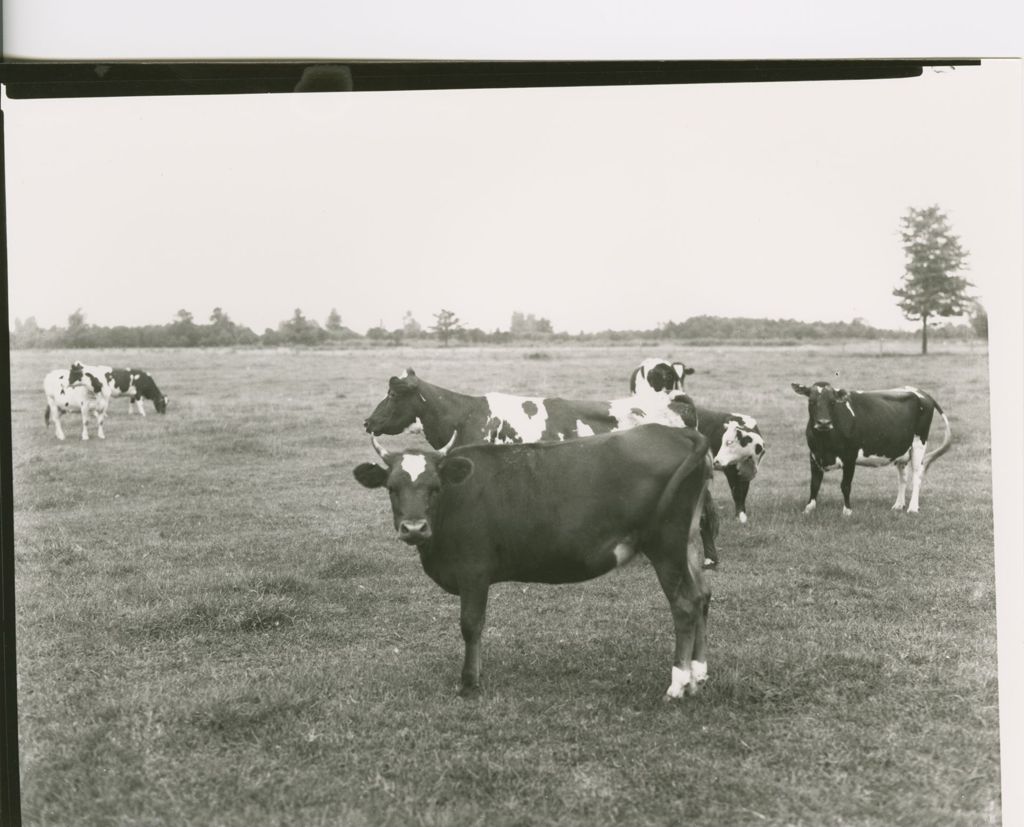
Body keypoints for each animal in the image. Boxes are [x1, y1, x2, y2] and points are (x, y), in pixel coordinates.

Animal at [356, 423, 716, 700]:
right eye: (391, 488)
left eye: (434, 487)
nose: (414, 528)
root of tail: (677, 431)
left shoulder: (473, 571)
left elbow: (471, 625)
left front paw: (469, 683)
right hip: (688, 544)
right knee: (702, 596)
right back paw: (698, 675)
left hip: (666, 545)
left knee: (684, 604)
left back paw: (677, 683)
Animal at [364, 370, 724, 569]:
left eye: (393, 394)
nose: (368, 421)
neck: (465, 416)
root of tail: (677, 401)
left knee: (706, 514)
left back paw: (709, 558)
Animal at [626, 356, 765, 524]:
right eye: (726, 442)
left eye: (730, 443)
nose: (717, 461)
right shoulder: (731, 470)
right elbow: (737, 493)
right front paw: (740, 517)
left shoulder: (743, 473)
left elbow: (743, 492)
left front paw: (742, 516)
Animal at [790, 382, 950, 515]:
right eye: (811, 401)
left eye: (832, 402)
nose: (823, 422)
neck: (824, 443)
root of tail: (920, 392)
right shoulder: (814, 456)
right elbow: (814, 484)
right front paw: (808, 509)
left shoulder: (850, 457)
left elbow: (845, 485)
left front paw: (847, 511)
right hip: (902, 450)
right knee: (903, 477)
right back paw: (898, 505)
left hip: (919, 443)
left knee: (917, 475)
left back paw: (913, 508)